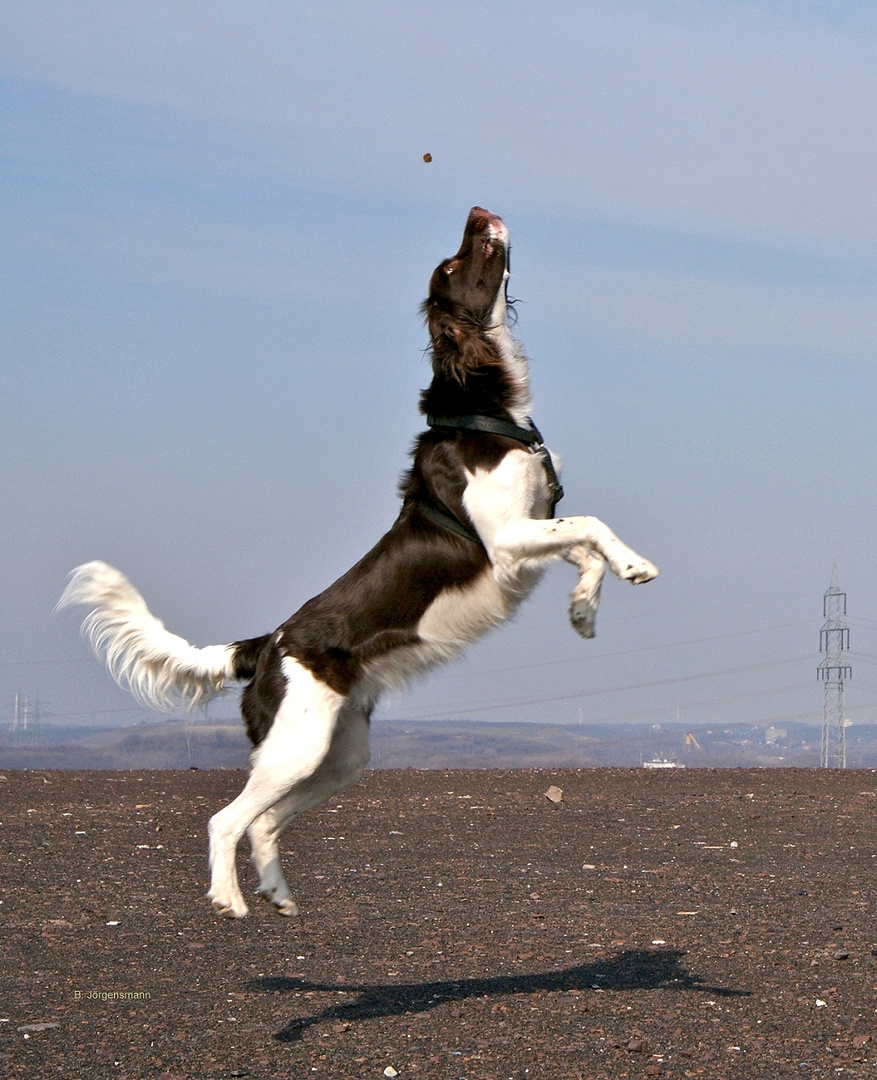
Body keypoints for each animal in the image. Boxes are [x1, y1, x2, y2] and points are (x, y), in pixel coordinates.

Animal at [58, 206, 656, 915]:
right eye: (453, 265)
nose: (478, 212)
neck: (483, 411)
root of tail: (264, 646)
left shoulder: (530, 531)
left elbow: (582, 544)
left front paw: (584, 611)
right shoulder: (506, 538)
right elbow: (591, 525)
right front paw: (636, 566)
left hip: (338, 755)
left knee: (263, 822)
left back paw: (279, 895)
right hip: (295, 748)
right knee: (226, 819)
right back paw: (230, 899)